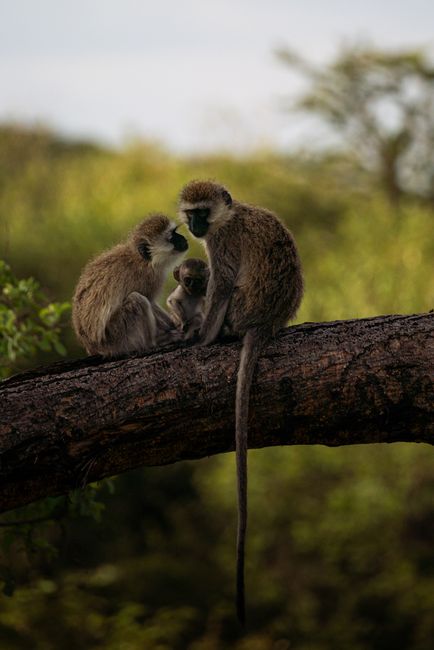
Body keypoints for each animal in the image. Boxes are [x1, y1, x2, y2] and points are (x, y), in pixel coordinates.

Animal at [72, 213, 188, 357]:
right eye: (171, 237)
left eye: (175, 232)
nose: (183, 238)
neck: (142, 260)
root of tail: (93, 347)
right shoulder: (149, 278)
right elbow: (150, 301)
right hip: (117, 338)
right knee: (136, 300)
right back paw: (154, 342)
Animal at [179, 180, 303, 624]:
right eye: (190, 213)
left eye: (202, 212)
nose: (194, 227)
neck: (230, 216)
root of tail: (265, 323)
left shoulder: (222, 244)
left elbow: (222, 284)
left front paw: (202, 340)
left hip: (241, 308)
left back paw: (222, 334)